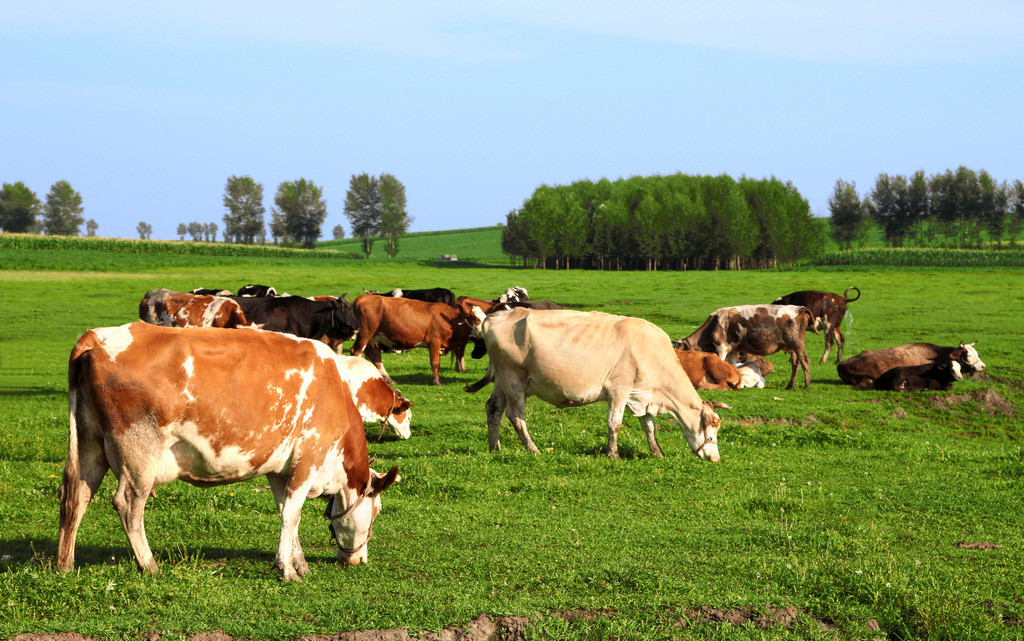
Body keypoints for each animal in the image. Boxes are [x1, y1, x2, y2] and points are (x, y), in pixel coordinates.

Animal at [57, 322, 400, 581]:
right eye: (377, 512)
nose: (358, 560)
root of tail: (98, 336)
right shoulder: (308, 456)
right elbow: (293, 513)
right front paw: (288, 570)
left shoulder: (280, 469)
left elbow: (287, 515)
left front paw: (297, 562)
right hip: (140, 452)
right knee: (128, 504)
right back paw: (149, 565)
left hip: (89, 442)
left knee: (76, 494)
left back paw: (65, 564)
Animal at [467, 306, 727, 460]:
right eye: (713, 427)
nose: (715, 458)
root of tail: (496, 316)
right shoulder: (619, 390)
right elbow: (615, 423)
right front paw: (614, 455)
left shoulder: (644, 394)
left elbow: (649, 426)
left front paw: (657, 452)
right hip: (514, 379)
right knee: (515, 415)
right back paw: (534, 449)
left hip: (503, 381)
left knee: (493, 408)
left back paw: (494, 448)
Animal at [678, 305, 817, 389]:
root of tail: (800, 308)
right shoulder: (733, 350)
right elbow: (732, 366)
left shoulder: (722, 348)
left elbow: (721, 362)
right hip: (791, 346)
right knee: (795, 363)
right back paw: (790, 385)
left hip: (797, 342)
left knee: (805, 360)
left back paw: (807, 384)